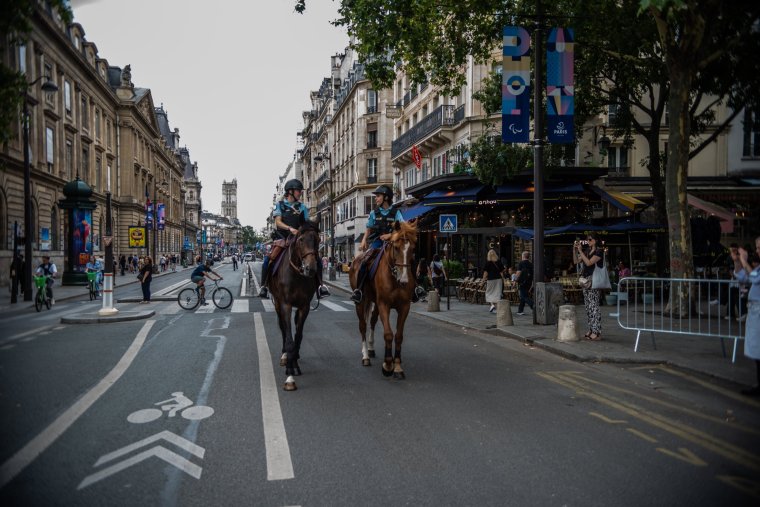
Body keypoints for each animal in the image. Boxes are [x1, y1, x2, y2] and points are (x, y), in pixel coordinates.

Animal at [268, 220, 320, 390]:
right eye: (301, 240)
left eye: (318, 240)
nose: (311, 269)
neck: (297, 273)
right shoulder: (285, 305)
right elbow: (289, 337)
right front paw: (290, 370)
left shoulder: (304, 306)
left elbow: (298, 335)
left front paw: (295, 362)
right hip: (277, 303)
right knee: (283, 328)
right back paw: (285, 355)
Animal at [348, 220, 418, 380]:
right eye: (396, 247)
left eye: (412, 248)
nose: (404, 280)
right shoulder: (384, 304)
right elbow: (388, 334)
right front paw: (388, 365)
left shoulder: (404, 307)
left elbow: (398, 336)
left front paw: (397, 366)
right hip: (361, 301)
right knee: (363, 325)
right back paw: (365, 355)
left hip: (374, 301)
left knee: (373, 321)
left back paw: (371, 348)